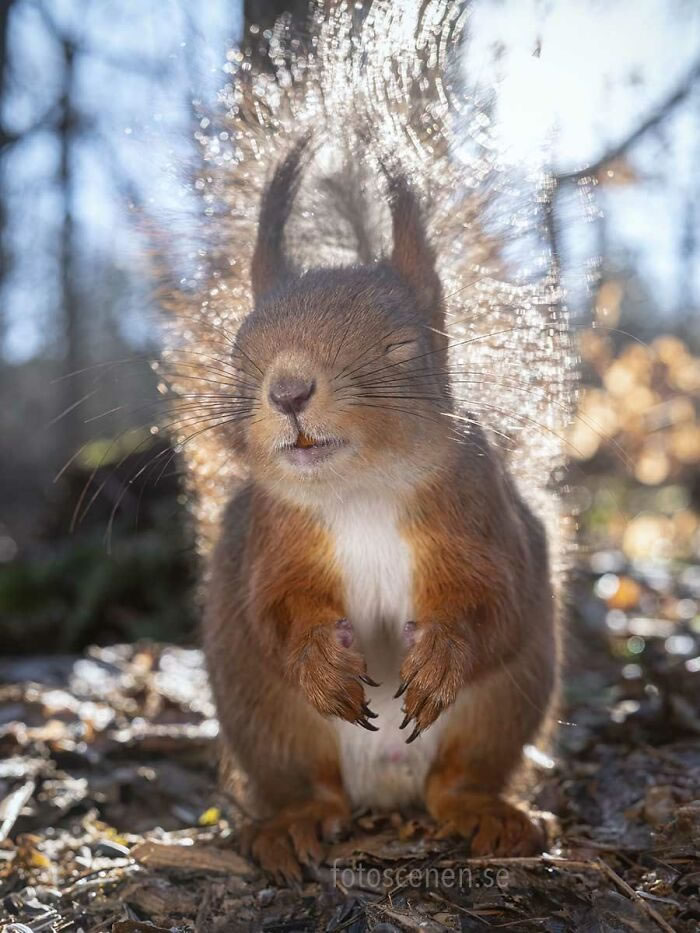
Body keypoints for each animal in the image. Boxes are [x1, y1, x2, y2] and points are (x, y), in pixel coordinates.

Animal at [164, 1, 576, 888]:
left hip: (502, 706)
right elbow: (277, 609)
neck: (359, 490)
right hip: (274, 726)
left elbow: (490, 597)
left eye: (400, 345)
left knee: (459, 778)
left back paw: (492, 813)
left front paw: (441, 650)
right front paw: (322, 655)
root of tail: (387, 791)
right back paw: (291, 824)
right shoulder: (273, 538)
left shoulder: (478, 512)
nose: (287, 390)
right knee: (311, 787)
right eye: (241, 352)